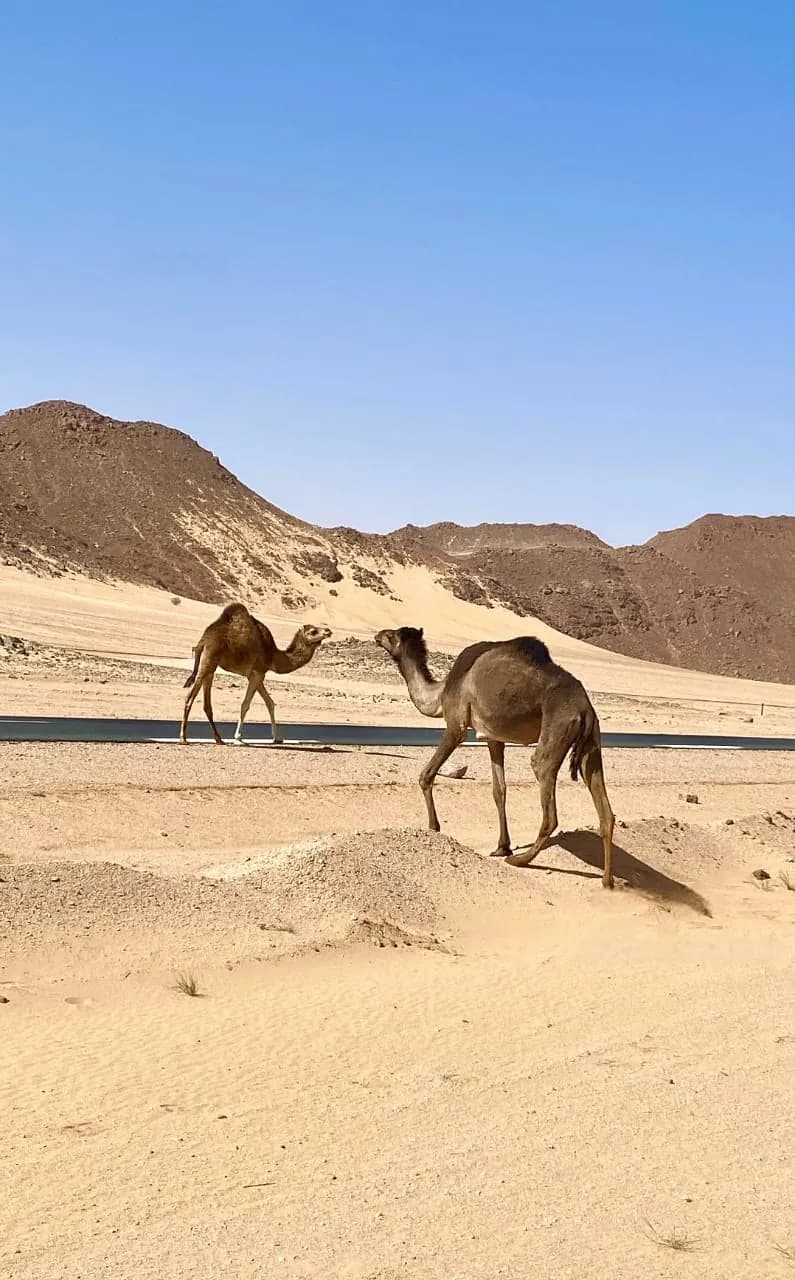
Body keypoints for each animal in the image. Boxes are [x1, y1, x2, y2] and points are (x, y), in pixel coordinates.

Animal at [180, 604, 331, 745]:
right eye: (313, 631)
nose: (328, 631)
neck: (273, 655)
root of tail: (203, 641)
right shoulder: (258, 672)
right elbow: (245, 704)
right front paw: (238, 738)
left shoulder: (255, 674)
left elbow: (270, 703)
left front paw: (277, 738)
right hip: (209, 658)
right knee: (189, 696)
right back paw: (183, 738)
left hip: (210, 665)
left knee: (207, 703)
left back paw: (219, 739)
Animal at [375, 627, 615, 888]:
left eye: (390, 635)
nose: (377, 635)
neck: (441, 691)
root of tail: (585, 709)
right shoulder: (494, 738)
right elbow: (499, 791)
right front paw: (502, 847)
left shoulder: (456, 724)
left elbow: (426, 775)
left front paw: (433, 828)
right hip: (592, 744)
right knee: (605, 811)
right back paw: (607, 881)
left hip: (557, 728)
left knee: (547, 800)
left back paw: (520, 860)